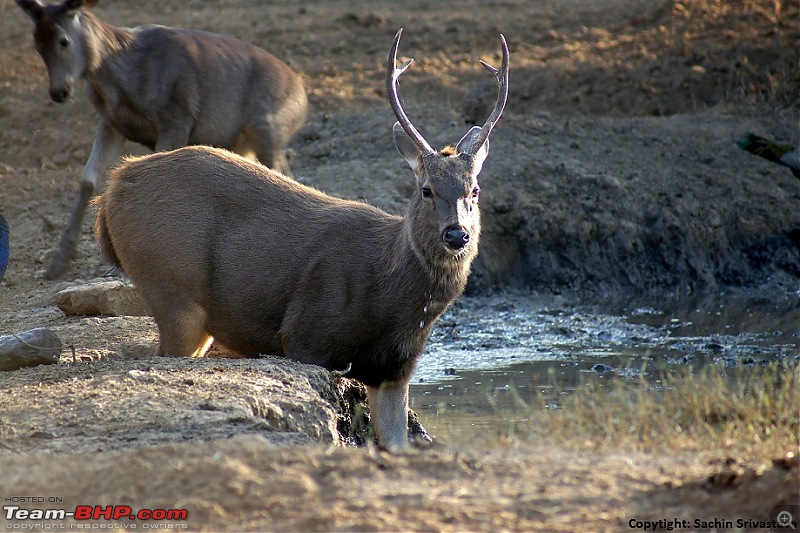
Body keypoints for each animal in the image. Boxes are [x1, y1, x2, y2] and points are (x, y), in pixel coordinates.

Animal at [16, 0, 310, 280]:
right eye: (36, 43)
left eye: (63, 40)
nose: (59, 92)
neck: (122, 81)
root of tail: (303, 96)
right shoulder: (112, 123)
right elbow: (88, 179)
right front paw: (59, 261)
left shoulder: (177, 120)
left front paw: (121, 266)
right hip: (244, 145)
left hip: (268, 130)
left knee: (284, 173)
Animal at [92, 30, 506, 448]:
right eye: (426, 190)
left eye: (474, 190)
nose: (457, 233)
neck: (390, 300)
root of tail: (112, 191)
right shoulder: (306, 333)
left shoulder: (395, 370)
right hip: (171, 285)